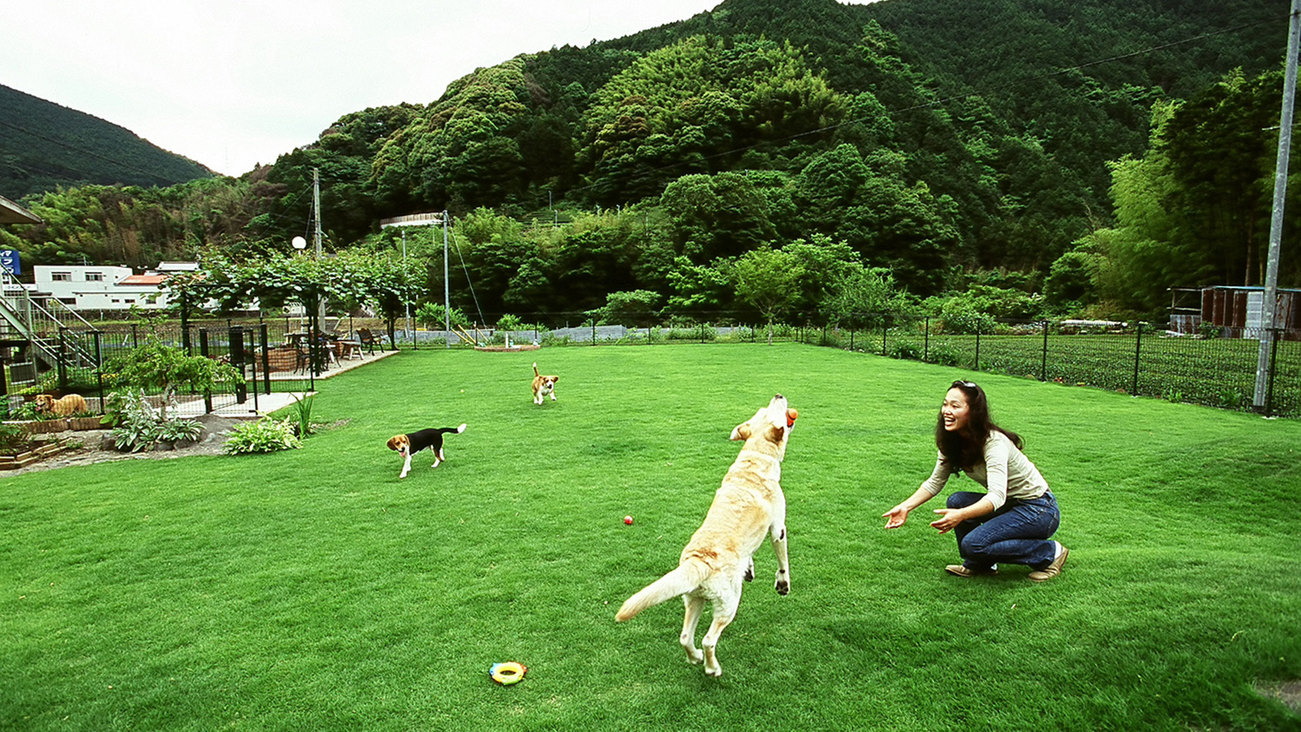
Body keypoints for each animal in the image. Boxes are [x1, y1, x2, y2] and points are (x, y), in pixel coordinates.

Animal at [616, 395, 796, 676]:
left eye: (763, 409)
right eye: (774, 410)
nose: (778, 395)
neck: (755, 459)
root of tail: (699, 560)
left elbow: (750, 554)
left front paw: (749, 569)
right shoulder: (778, 527)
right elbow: (783, 560)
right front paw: (783, 585)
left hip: (693, 598)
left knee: (685, 637)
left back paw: (695, 658)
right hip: (728, 603)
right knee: (709, 639)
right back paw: (713, 668)